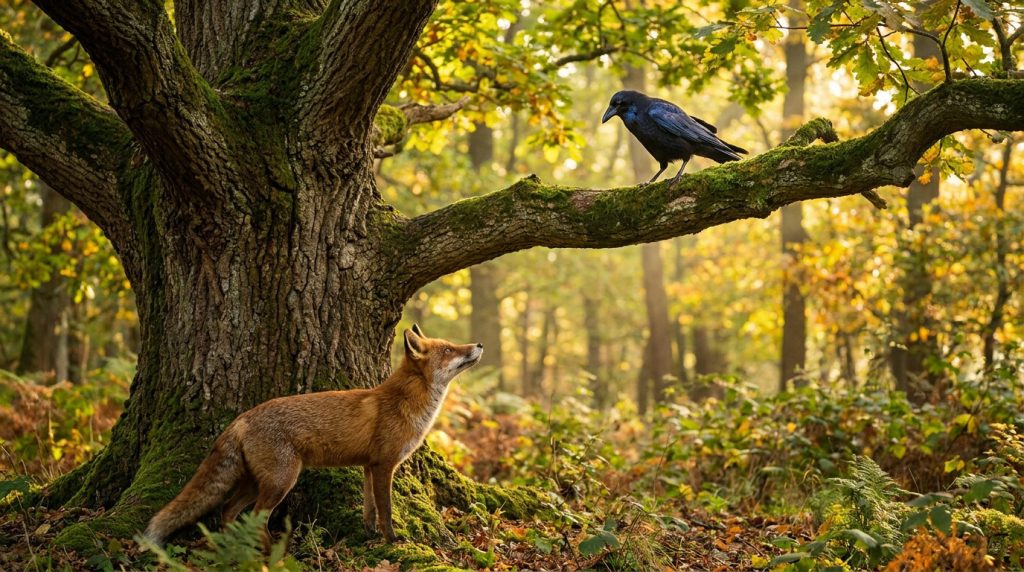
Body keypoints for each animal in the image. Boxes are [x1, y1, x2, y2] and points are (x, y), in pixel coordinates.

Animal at [143, 324, 482, 546]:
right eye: (448, 350)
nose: (478, 345)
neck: (404, 403)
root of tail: (242, 417)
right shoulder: (384, 465)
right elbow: (386, 509)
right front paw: (392, 540)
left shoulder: (368, 466)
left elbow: (369, 507)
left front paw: (369, 534)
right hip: (281, 482)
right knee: (254, 518)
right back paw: (270, 555)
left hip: (256, 482)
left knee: (229, 511)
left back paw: (237, 552)